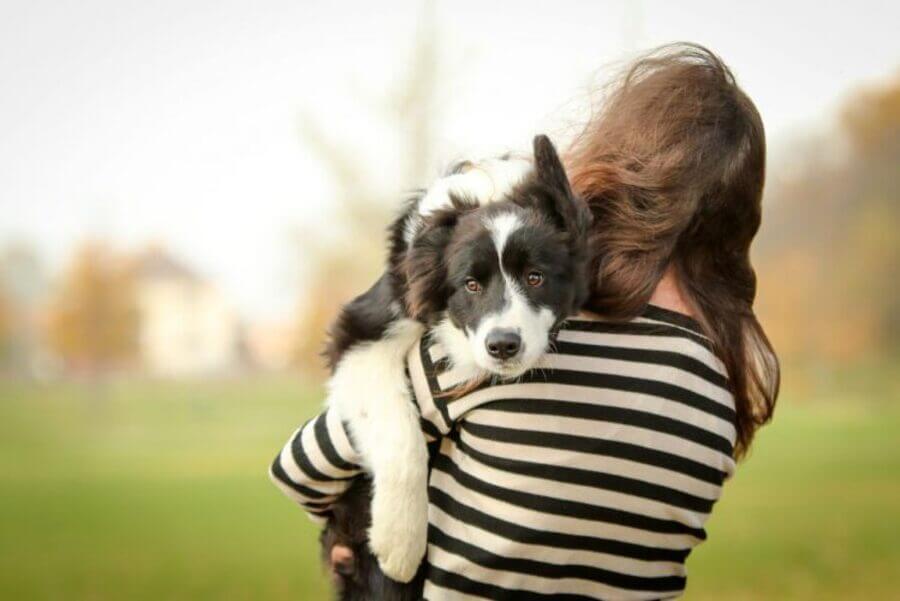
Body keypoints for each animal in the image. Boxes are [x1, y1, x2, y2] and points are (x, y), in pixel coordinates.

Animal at [320, 137, 588, 600]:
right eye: (471, 285)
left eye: (535, 277)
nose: (502, 346)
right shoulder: (360, 333)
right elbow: (399, 431)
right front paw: (400, 542)